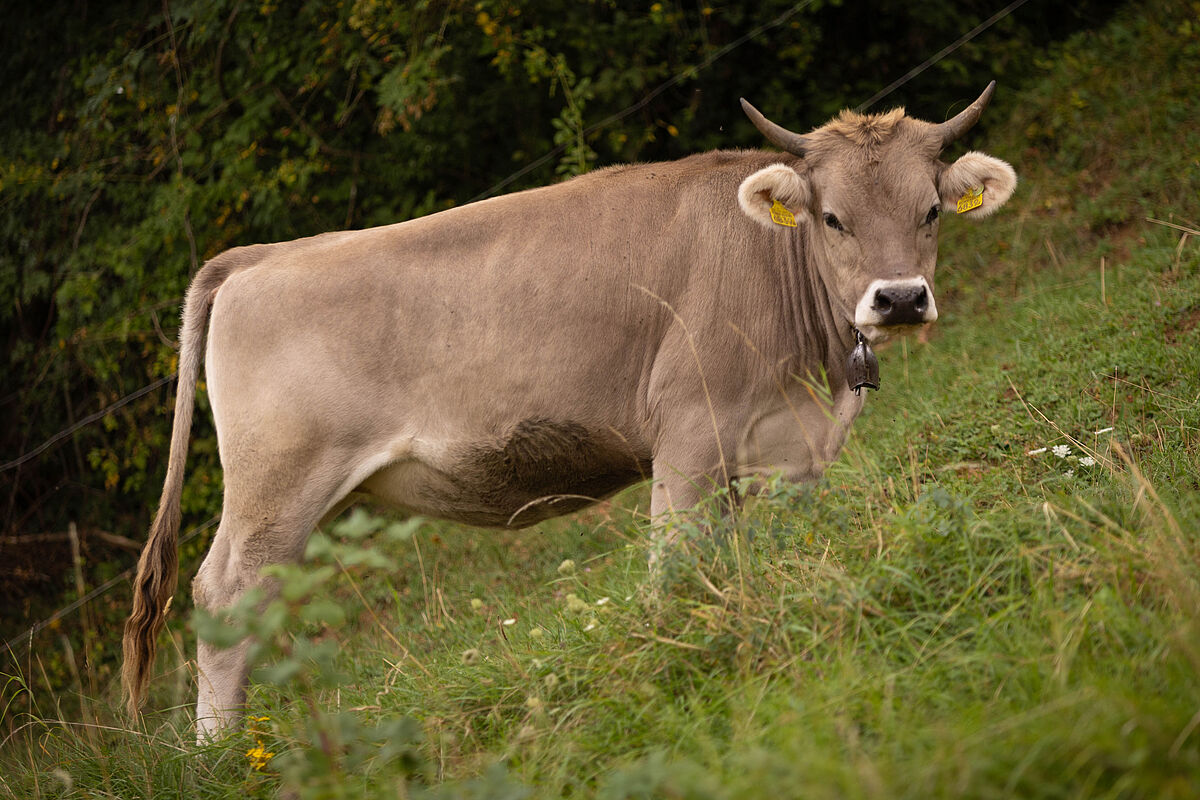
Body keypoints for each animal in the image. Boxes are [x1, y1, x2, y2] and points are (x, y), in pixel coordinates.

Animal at [123, 84, 1016, 737]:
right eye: (833, 219)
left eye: (930, 210)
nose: (899, 298)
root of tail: (260, 255)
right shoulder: (689, 439)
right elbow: (673, 567)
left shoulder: (789, 449)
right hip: (275, 486)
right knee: (224, 598)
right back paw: (221, 756)